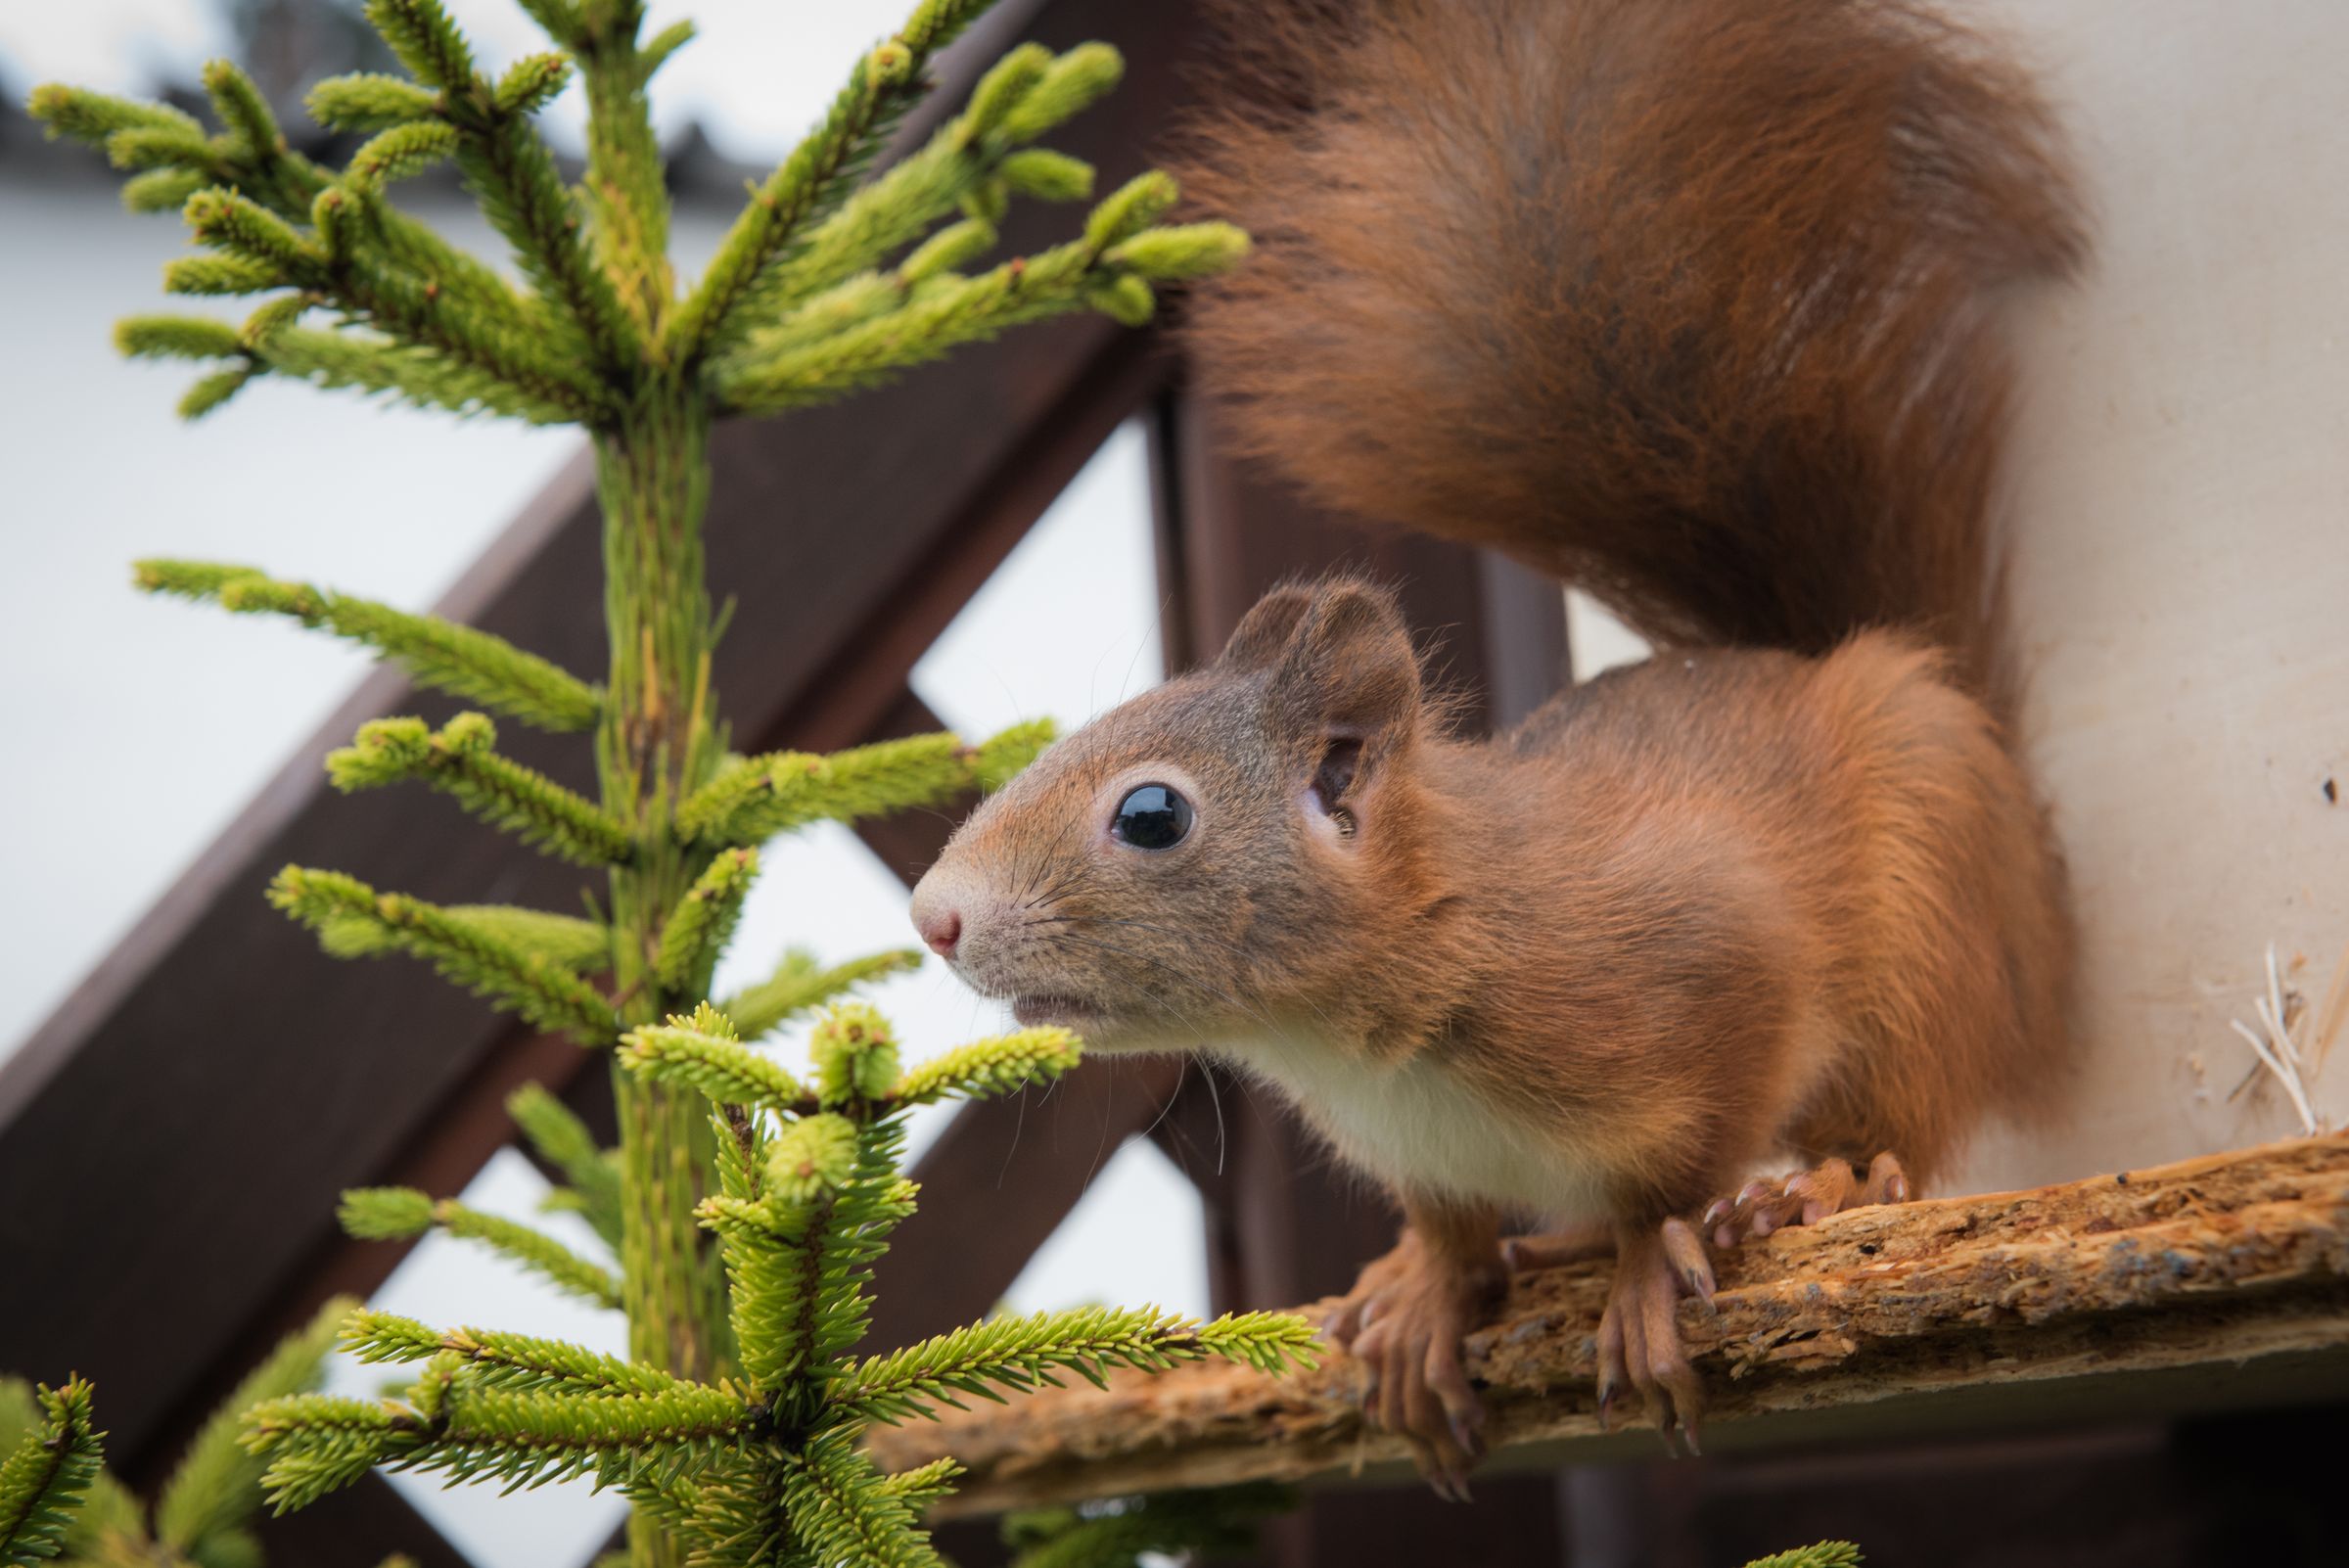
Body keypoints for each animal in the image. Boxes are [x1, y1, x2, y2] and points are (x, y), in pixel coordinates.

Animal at [909, 0, 2085, 1491]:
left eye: (1152, 816)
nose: (932, 915)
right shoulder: (1429, 1154)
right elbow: (1454, 1224)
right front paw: (1423, 1289)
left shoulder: (1720, 970)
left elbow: (1678, 1165)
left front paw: (1645, 1268)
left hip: (1930, 914)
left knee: (1903, 1111)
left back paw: (1816, 1184)